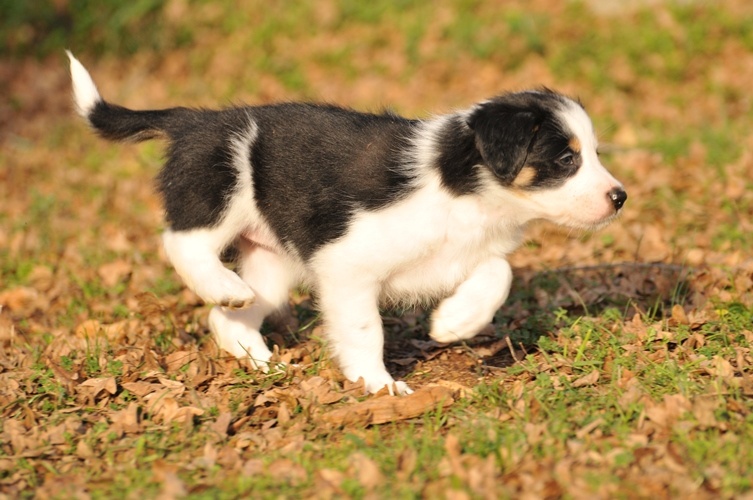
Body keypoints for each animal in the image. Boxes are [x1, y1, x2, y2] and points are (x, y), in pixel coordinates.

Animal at [67, 50, 624, 394]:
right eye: (566, 158)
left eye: (594, 153)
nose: (620, 197)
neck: (462, 187)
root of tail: (192, 118)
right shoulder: (347, 266)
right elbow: (364, 330)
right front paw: (379, 385)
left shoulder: (464, 253)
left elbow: (498, 273)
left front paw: (452, 323)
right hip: (219, 187)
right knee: (182, 242)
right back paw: (221, 285)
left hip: (272, 265)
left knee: (228, 318)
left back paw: (260, 358)